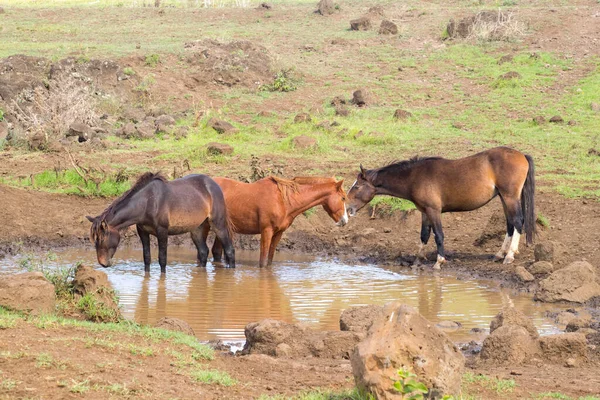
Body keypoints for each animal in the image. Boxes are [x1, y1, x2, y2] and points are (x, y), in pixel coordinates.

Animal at [86, 173, 234, 276]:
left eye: (102, 239)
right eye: (95, 240)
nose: (103, 263)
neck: (147, 202)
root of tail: (214, 185)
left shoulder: (162, 231)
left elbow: (162, 259)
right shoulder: (142, 231)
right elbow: (147, 258)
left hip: (218, 225)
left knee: (229, 250)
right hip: (197, 229)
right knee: (203, 252)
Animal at [207, 177, 350, 268]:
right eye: (343, 198)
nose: (345, 220)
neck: (283, 201)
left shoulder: (278, 233)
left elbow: (269, 260)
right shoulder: (266, 231)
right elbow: (263, 261)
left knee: (216, 252)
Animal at [344, 147, 536, 268]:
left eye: (357, 186)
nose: (347, 208)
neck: (415, 176)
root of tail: (521, 155)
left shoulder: (434, 211)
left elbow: (439, 235)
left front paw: (439, 261)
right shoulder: (424, 212)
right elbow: (424, 235)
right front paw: (418, 260)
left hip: (510, 197)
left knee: (518, 222)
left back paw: (510, 255)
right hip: (504, 198)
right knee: (510, 224)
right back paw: (500, 253)